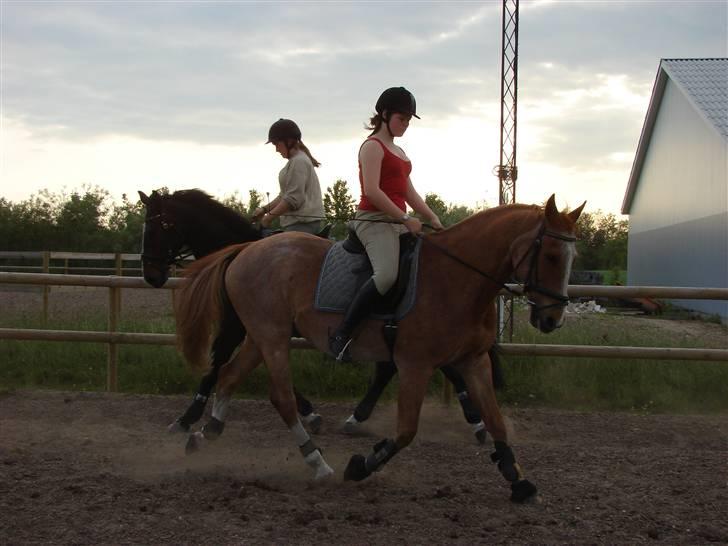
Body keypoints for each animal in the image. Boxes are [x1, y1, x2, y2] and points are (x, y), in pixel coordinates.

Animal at [139, 186, 486, 438]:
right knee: (398, 366)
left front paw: (186, 418)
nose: (151, 276)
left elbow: (216, 363)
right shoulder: (258, 328)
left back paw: (473, 419)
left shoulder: (239, 325)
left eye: (160, 227)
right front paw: (308, 411)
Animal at [173, 193, 584, 500]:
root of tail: (246, 249)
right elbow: (406, 431)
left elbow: (497, 421)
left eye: (571, 258)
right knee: (281, 397)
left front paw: (518, 479)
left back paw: (204, 433)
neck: (457, 278)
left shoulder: (473, 360)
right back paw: (317, 463)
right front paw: (361, 466)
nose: (552, 319)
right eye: (550, 256)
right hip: (271, 338)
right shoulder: (416, 365)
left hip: (263, 337)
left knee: (229, 377)